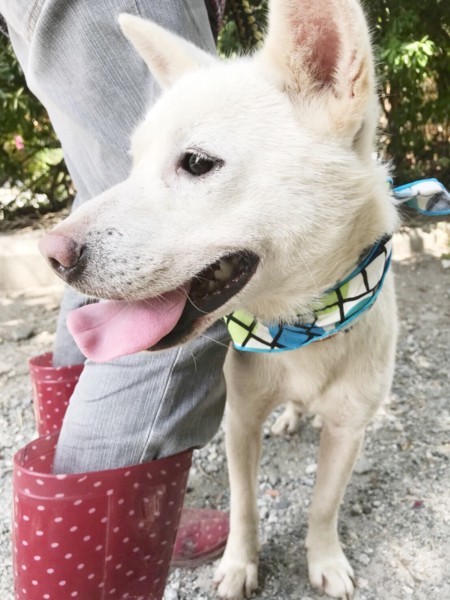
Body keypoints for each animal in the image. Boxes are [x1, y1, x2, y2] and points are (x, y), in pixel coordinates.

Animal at [39, 1, 399, 598]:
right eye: (133, 163)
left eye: (197, 163)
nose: (51, 253)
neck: (303, 326)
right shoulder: (240, 420)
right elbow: (244, 506)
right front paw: (238, 565)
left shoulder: (350, 430)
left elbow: (324, 506)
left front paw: (325, 560)